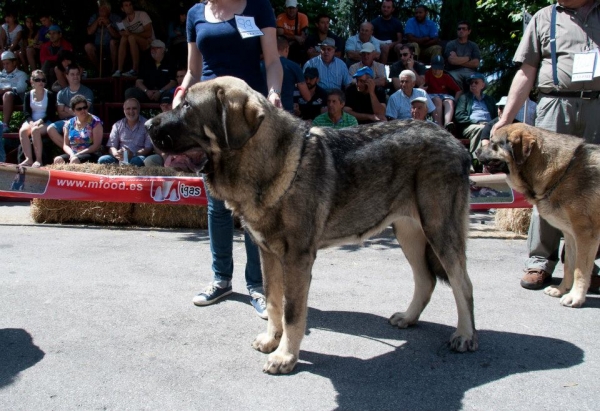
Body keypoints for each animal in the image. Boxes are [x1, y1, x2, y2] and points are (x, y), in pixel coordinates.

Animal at [146, 76, 478, 374]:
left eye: (187, 106)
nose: (148, 125)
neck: (267, 160)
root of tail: (453, 141)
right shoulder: (268, 253)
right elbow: (273, 301)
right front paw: (272, 340)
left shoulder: (297, 258)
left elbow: (292, 312)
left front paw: (285, 357)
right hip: (409, 233)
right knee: (426, 279)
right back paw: (409, 317)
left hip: (439, 229)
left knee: (462, 283)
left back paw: (464, 335)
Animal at [476, 124, 596, 308]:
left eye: (494, 143)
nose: (475, 151)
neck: (561, 172)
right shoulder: (570, 235)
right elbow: (569, 266)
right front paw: (561, 290)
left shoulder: (585, 235)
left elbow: (580, 270)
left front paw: (575, 296)